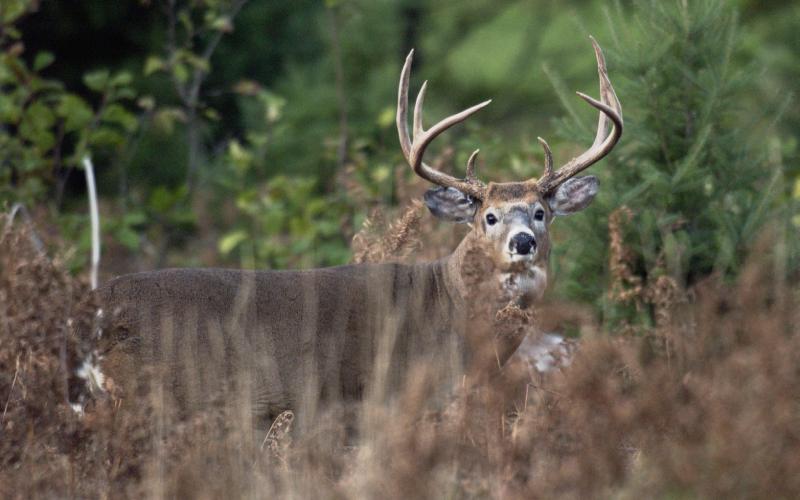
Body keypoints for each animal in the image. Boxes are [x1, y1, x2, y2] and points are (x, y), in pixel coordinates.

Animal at [92, 38, 621, 429]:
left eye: (541, 212)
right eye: (488, 216)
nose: (522, 242)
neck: (451, 310)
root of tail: (88, 310)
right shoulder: (381, 397)